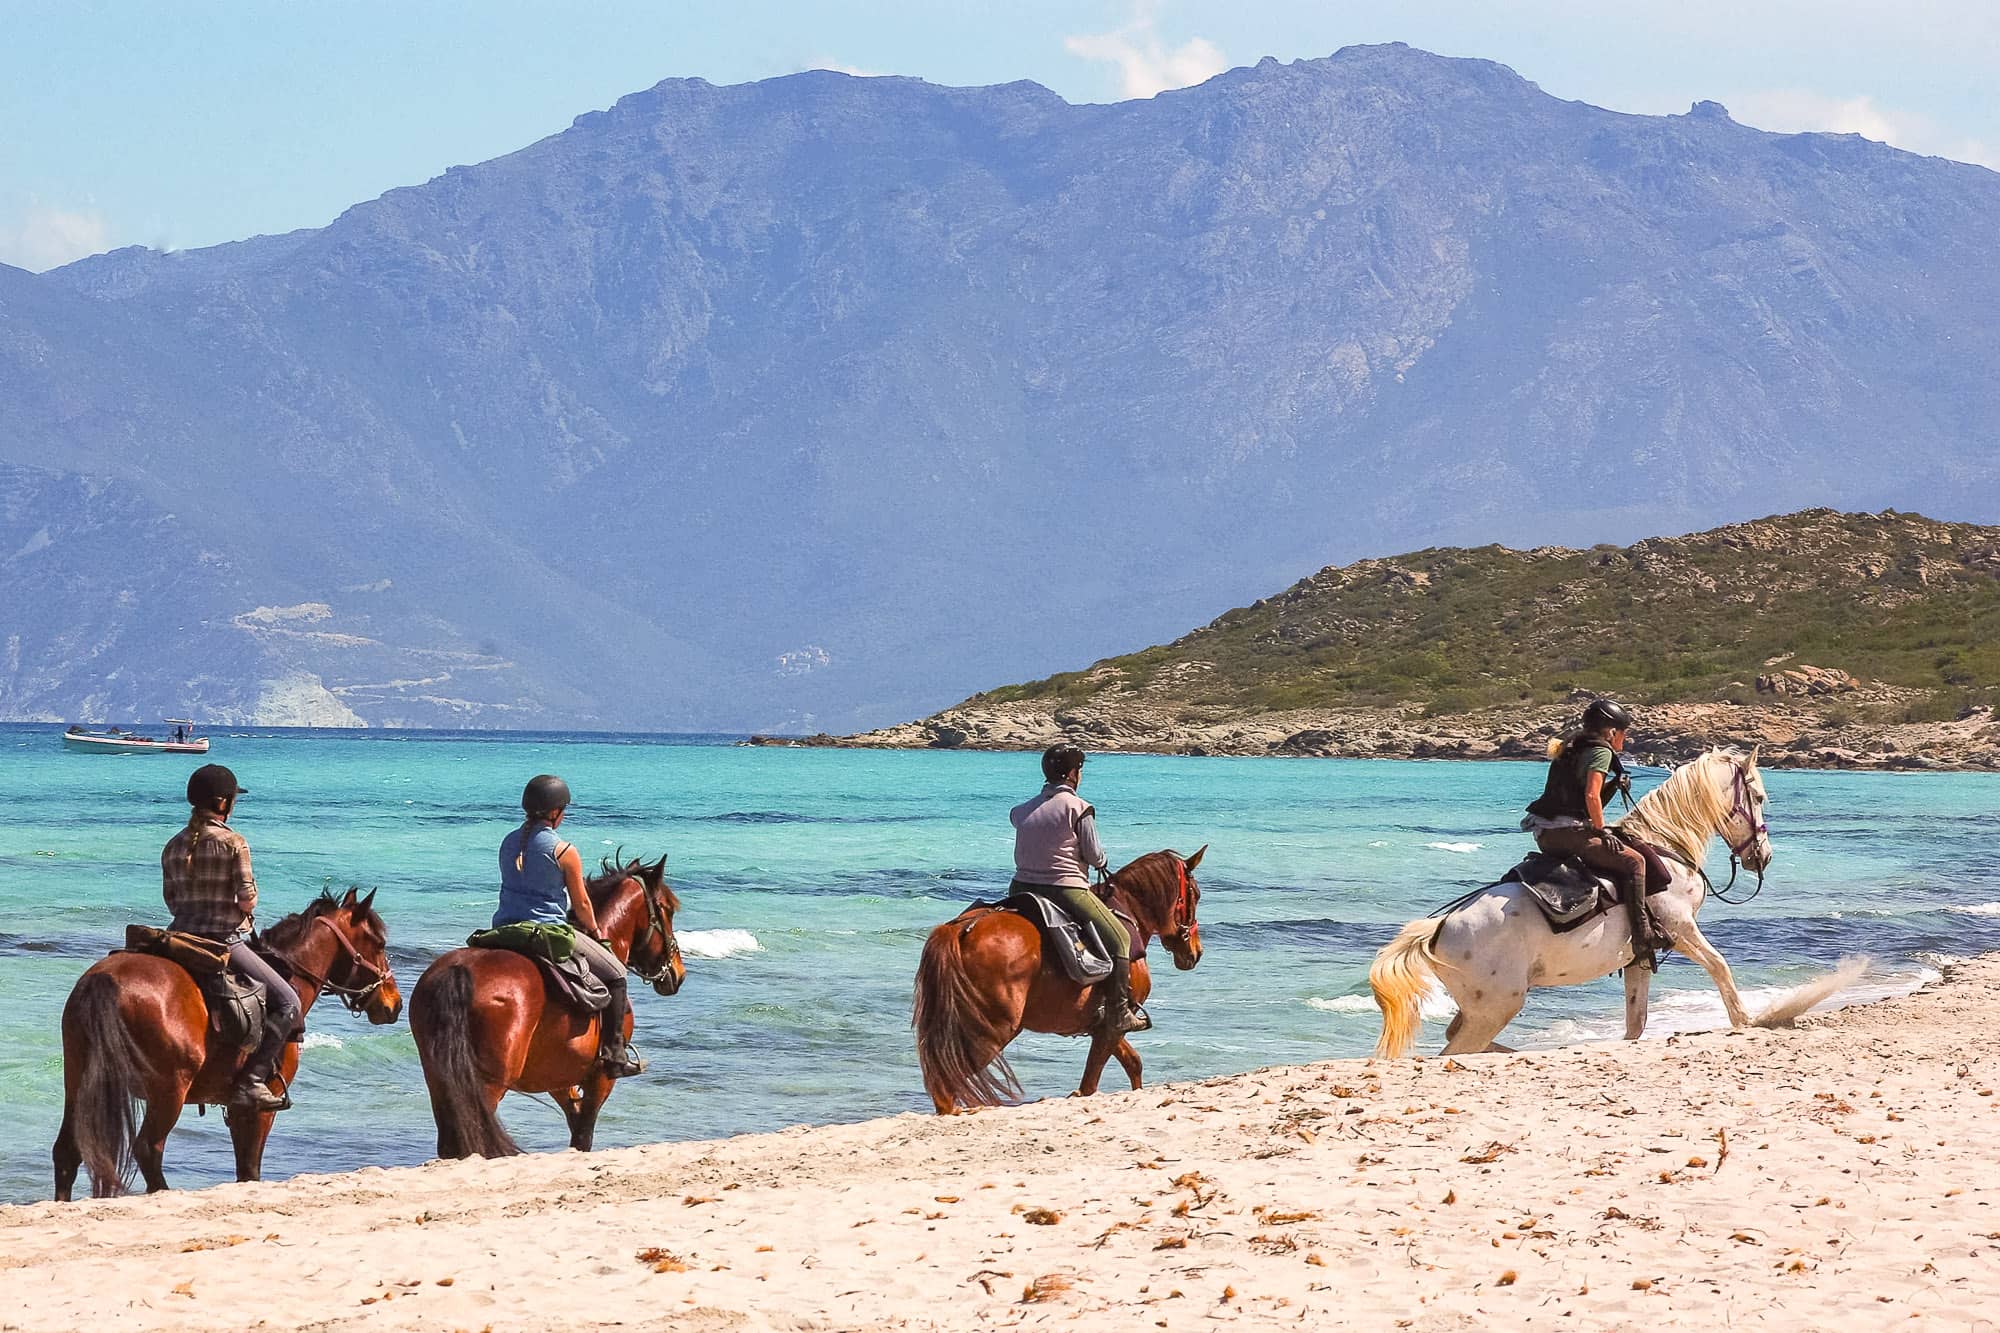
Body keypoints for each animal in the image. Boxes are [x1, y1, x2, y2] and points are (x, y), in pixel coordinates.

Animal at [53, 888, 401, 1199]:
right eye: (380, 944)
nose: (394, 1004)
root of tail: (106, 980)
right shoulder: (260, 1108)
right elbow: (250, 1170)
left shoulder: (235, 1108)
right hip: (168, 1092)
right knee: (148, 1150)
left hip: (79, 1083)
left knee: (67, 1154)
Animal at [408, 853, 685, 1159]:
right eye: (668, 910)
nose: (677, 974)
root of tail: (459, 970)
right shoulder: (600, 1078)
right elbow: (583, 1135)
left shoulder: (558, 1077)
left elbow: (575, 1120)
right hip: (487, 1084)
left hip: (441, 1079)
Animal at [913, 846, 1207, 1115]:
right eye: (1196, 894)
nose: (1195, 952)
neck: (1130, 914)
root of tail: (960, 930)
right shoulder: (1115, 1024)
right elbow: (1091, 1083)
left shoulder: (1103, 1025)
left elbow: (1133, 1063)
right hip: (992, 1030)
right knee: (947, 1081)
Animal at [1370, 747, 1774, 1058]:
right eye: (1758, 798)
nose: (1763, 857)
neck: (1665, 846)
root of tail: (1439, 929)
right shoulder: (1681, 928)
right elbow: (1719, 966)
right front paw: (1746, 1021)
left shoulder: (1639, 959)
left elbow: (1636, 1023)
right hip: (1495, 1008)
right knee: (1455, 1049)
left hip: (1482, 1008)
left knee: (1455, 1038)